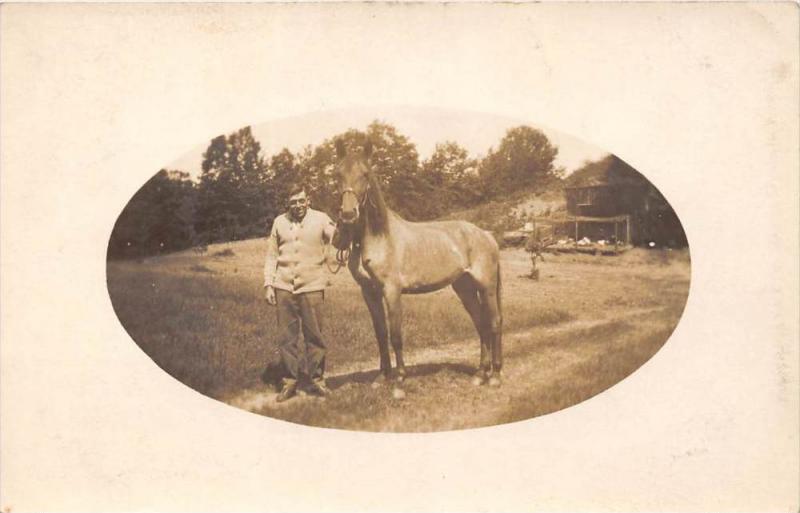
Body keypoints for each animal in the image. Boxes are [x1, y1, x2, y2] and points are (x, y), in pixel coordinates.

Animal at [334, 136, 504, 392]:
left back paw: (494, 375)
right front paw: (382, 377)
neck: (380, 237)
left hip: (486, 287)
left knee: (493, 323)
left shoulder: (392, 291)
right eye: (339, 174)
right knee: (480, 323)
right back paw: (480, 373)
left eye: (365, 174)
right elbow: (380, 334)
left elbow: (395, 335)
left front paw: (400, 379)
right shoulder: (369, 292)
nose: (347, 214)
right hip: (465, 288)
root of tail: (486, 235)